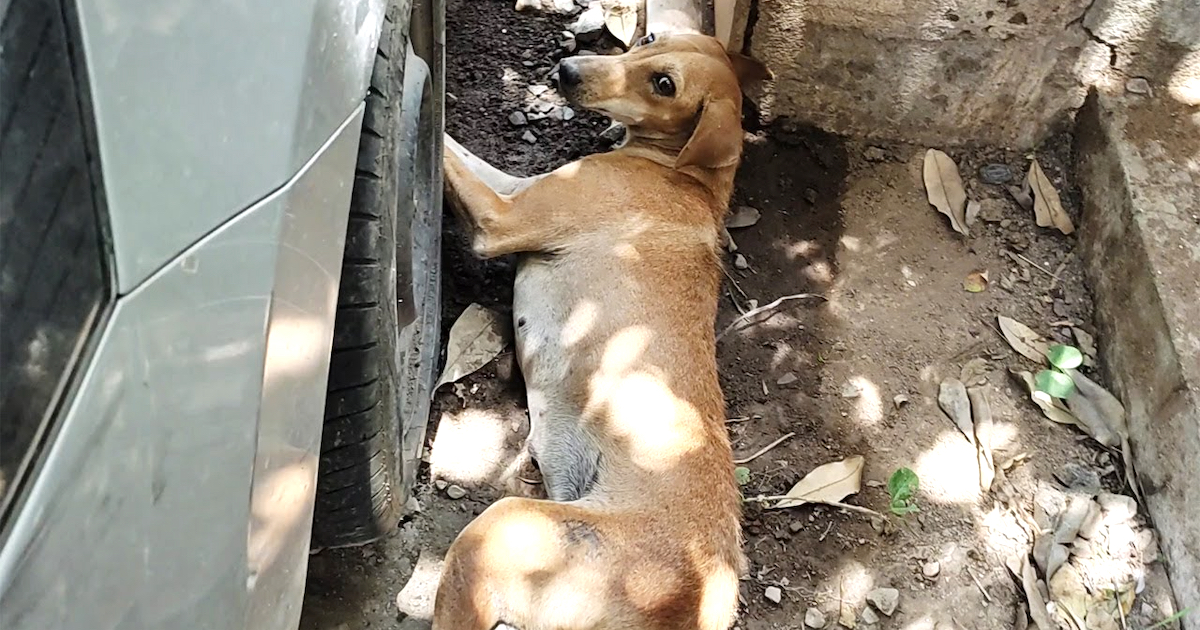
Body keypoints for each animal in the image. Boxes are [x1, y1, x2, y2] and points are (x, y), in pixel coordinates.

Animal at [432, 34, 768, 628]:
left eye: (664, 84)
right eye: (650, 38)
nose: (566, 69)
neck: (682, 173)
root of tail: (698, 595)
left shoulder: (501, 218)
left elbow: (449, 149)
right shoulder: (517, 189)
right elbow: (465, 153)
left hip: (504, 529)